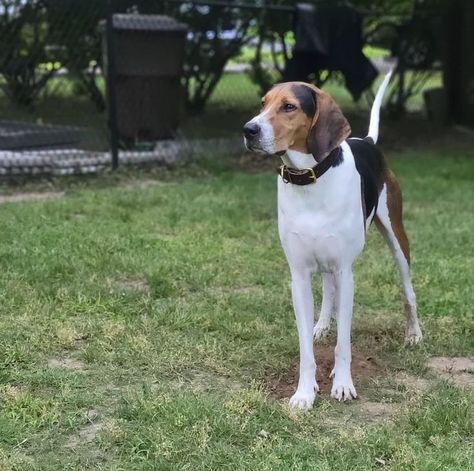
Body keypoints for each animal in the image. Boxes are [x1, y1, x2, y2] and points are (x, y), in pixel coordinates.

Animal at [244, 72, 422, 412]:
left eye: (289, 107)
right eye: (262, 103)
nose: (249, 129)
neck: (310, 178)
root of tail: (366, 141)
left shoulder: (345, 272)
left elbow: (344, 342)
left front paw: (342, 384)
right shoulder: (299, 276)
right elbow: (305, 349)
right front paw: (304, 392)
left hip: (397, 239)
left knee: (407, 290)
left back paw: (414, 333)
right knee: (327, 290)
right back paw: (322, 325)